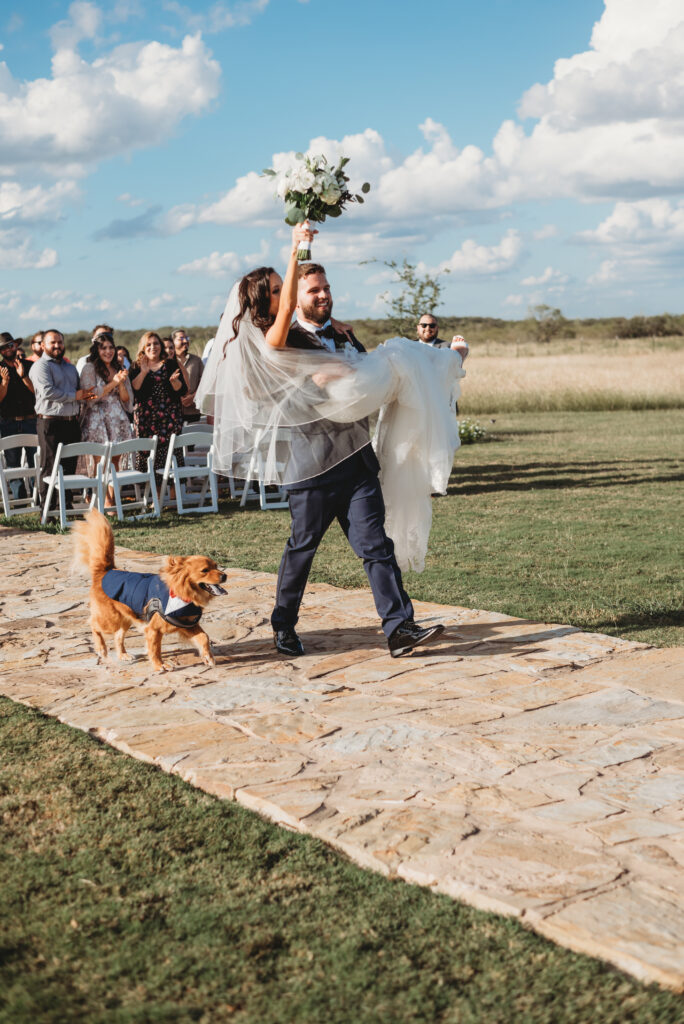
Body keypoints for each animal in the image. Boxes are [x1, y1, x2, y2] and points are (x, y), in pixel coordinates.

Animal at [73, 509, 225, 671]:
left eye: (216, 566)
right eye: (205, 570)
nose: (225, 575)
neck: (183, 592)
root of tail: (107, 571)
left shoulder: (187, 625)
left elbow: (204, 637)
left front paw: (208, 657)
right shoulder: (154, 629)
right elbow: (155, 648)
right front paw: (159, 665)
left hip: (126, 617)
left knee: (118, 636)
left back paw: (123, 655)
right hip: (110, 619)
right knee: (93, 624)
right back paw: (101, 648)